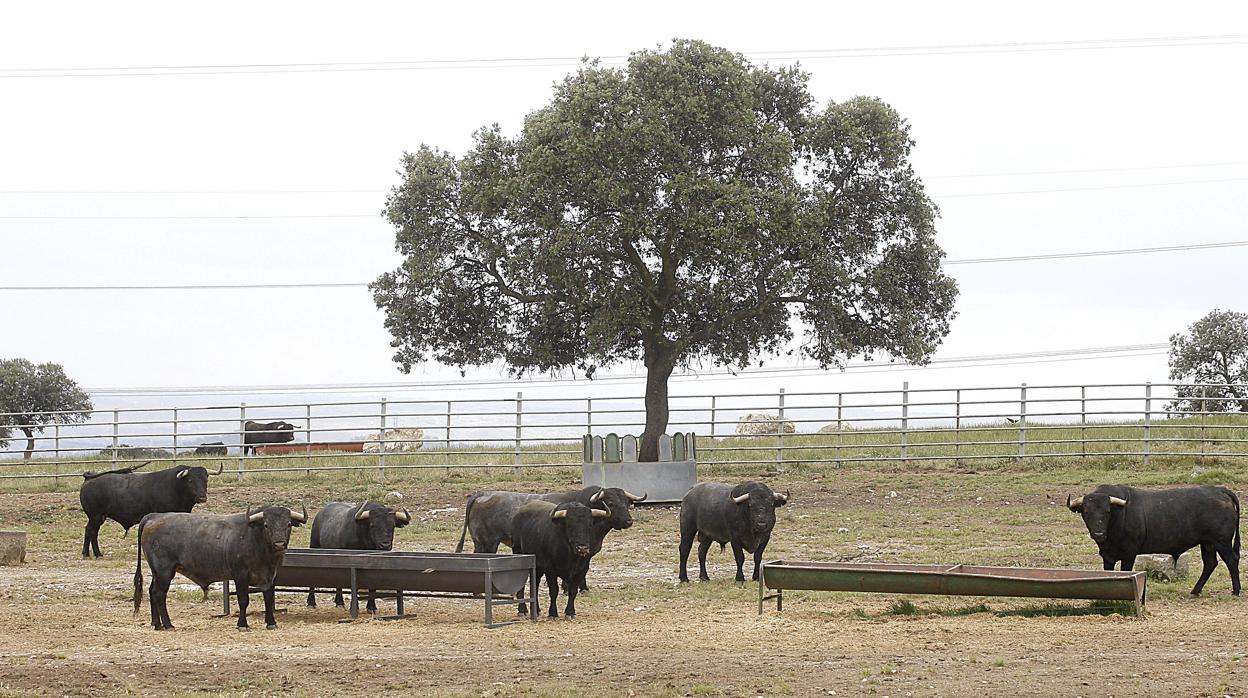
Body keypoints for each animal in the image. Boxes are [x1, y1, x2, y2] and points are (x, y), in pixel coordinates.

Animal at [79, 464, 223, 556]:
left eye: (205, 480)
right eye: (191, 481)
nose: (202, 497)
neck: (176, 486)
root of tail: (89, 477)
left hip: (98, 517)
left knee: (88, 530)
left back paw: (86, 553)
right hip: (96, 516)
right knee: (92, 531)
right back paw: (97, 554)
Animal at [132, 504, 309, 631]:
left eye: (288, 524)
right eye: (266, 524)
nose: (279, 543)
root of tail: (155, 516)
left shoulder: (270, 576)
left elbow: (269, 599)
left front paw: (271, 622)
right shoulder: (240, 576)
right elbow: (243, 600)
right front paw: (242, 624)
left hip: (157, 572)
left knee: (152, 591)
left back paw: (157, 624)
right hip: (164, 571)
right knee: (159, 594)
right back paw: (168, 625)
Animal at [1068, 486, 1243, 594]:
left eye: (1107, 511)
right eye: (1086, 511)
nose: (1098, 533)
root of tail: (1220, 490)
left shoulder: (1129, 554)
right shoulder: (1107, 556)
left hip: (1222, 541)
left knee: (1231, 560)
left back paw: (1236, 590)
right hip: (1208, 543)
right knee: (1210, 563)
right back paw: (1195, 591)